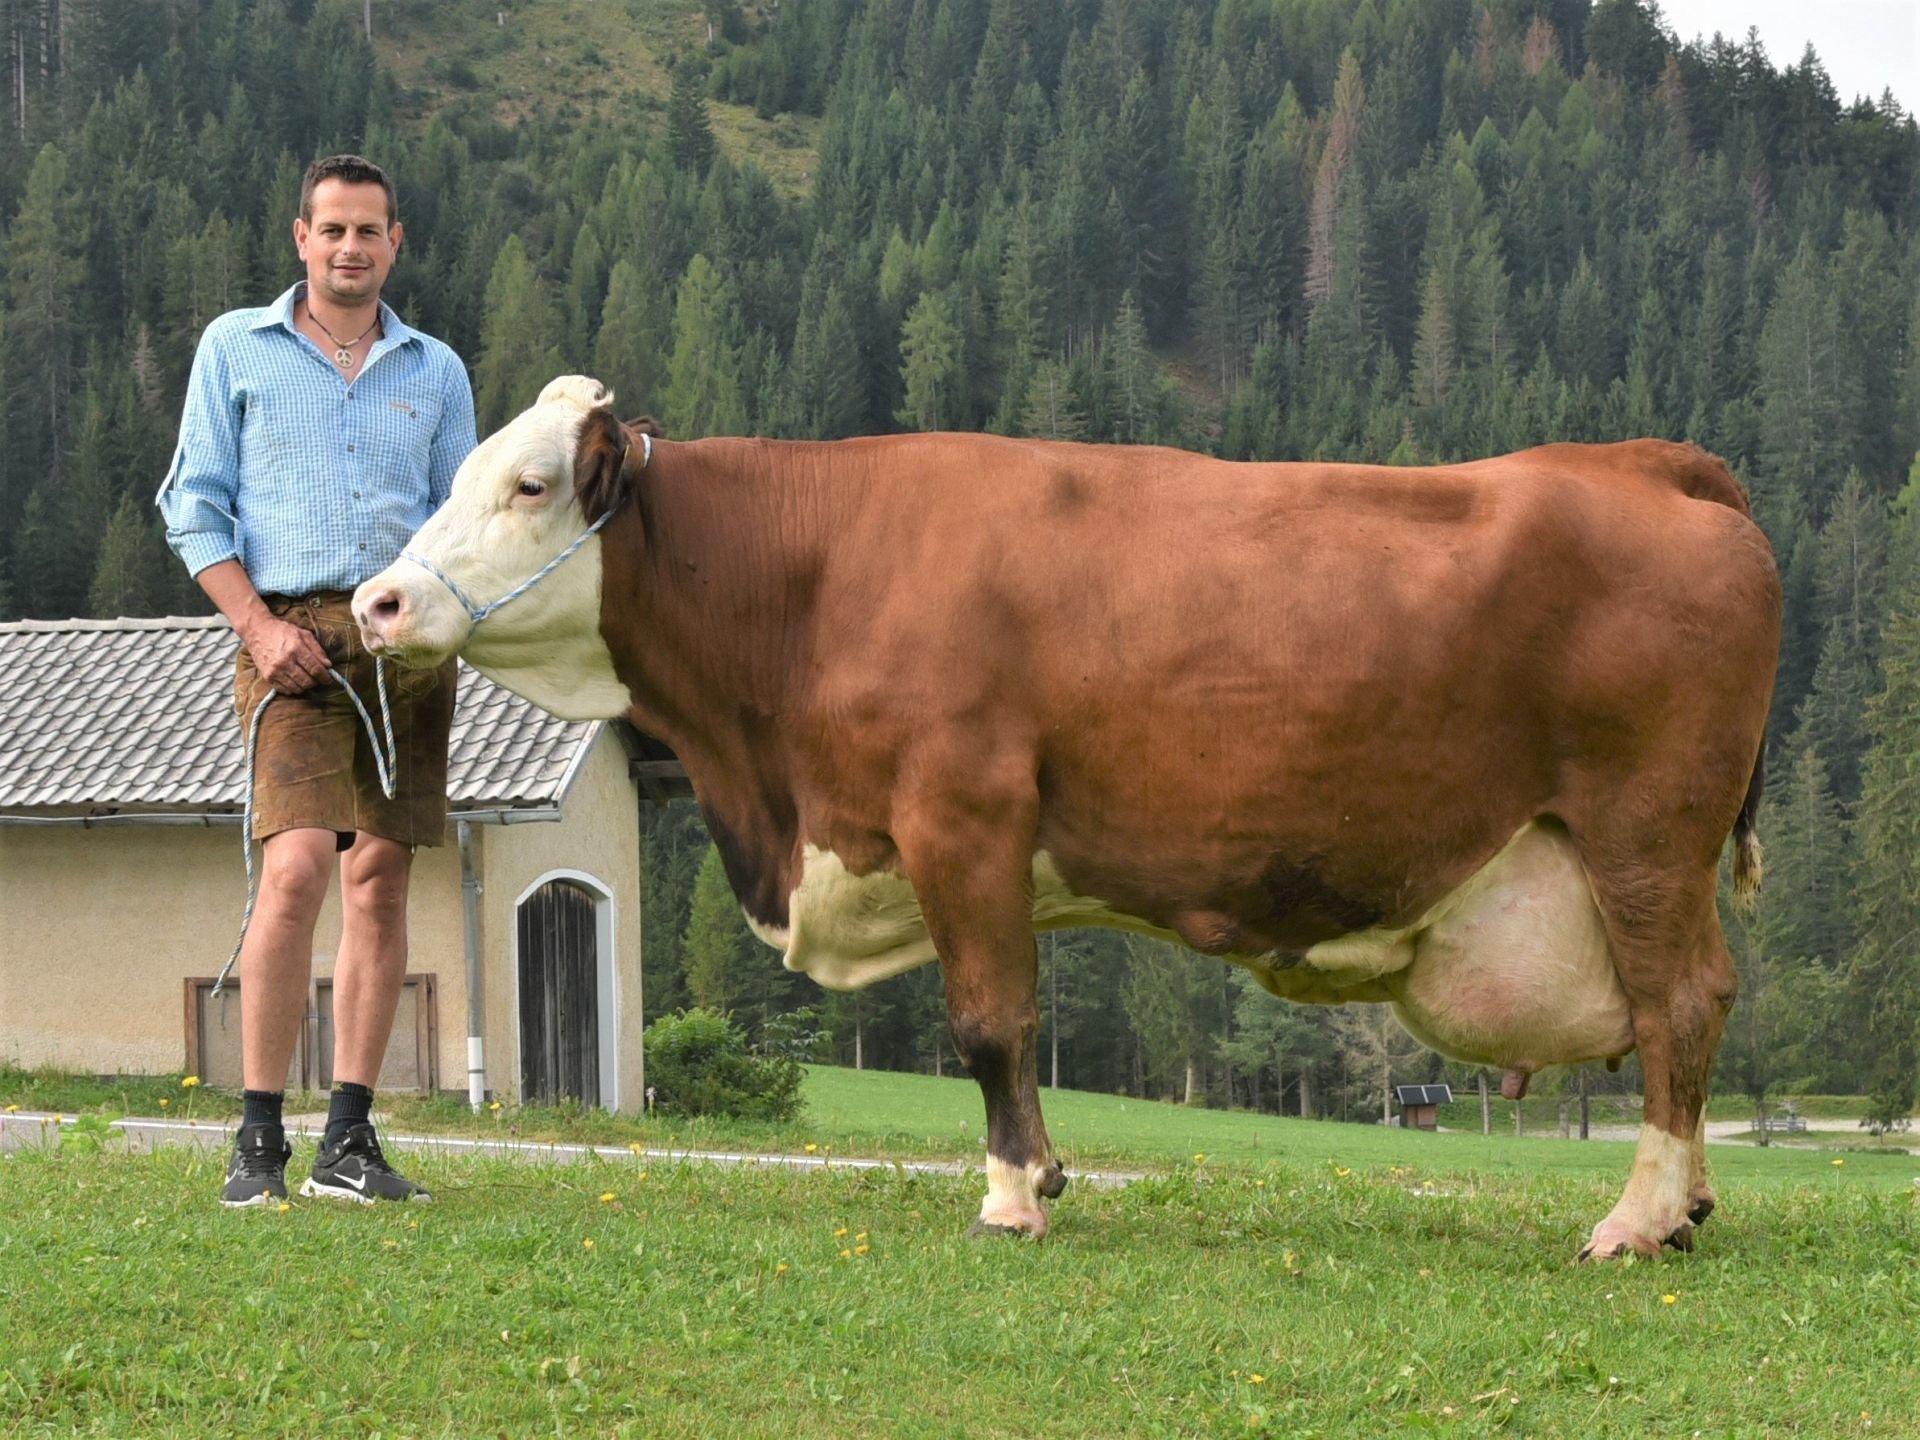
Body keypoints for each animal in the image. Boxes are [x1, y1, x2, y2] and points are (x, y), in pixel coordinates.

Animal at [353, 374, 1774, 1259]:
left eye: (530, 485)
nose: (375, 602)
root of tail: (1653, 467)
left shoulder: (962, 816)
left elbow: (991, 1023)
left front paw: (1011, 1199)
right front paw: (1034, 1176)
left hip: (1645, 834)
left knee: (1681, 1004)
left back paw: (1639, 1220)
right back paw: (1692, 1203)